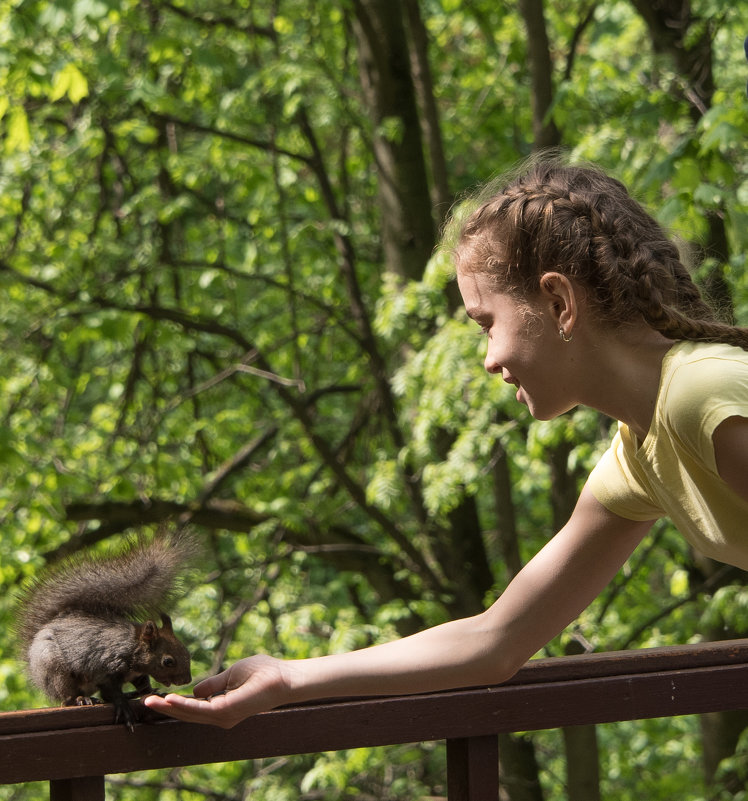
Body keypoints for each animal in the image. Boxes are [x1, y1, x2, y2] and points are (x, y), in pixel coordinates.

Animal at [15, 536, 196, 728]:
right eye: (168, 661)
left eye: (187, 653)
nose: (187, 680)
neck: (132, 648)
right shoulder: (104, 669)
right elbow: (112, 691)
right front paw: (123, 706)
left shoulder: (138, 674)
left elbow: (142, 684)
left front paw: (151, 692)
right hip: (56, 671)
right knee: (68, 698)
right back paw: (82, 699)